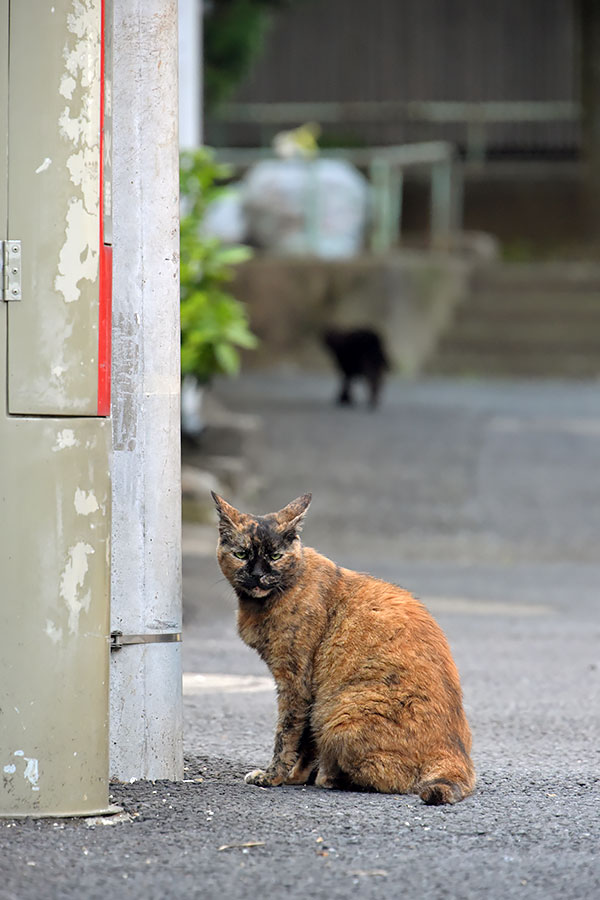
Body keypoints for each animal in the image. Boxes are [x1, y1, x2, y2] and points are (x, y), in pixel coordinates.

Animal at [213, 492, 476, 808]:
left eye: (275, 556)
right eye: (241, 554)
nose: (257, 575)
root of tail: (457, 755)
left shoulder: (295, 684)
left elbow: (287, 736)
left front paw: (273, 777)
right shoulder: (309, 693)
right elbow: (306, 745)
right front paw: (296, 777)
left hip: (340, 719)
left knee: (393, 778)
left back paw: (331, 778)